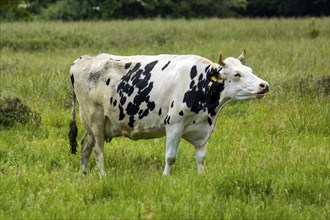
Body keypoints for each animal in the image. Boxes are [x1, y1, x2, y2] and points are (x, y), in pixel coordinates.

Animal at [68, 49, 270, 175]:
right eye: (237, 74)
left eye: (249, 70)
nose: (264, 85)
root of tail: (82, 60)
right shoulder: (174, 124)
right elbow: (171, 157)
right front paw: (165, 178)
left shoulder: (203, 129)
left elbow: (201, 157)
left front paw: (201, 176)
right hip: (95, 117)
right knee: (97, 149)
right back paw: (103, 176)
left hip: (95, 123)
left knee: (85, 146)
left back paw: (83, 174)